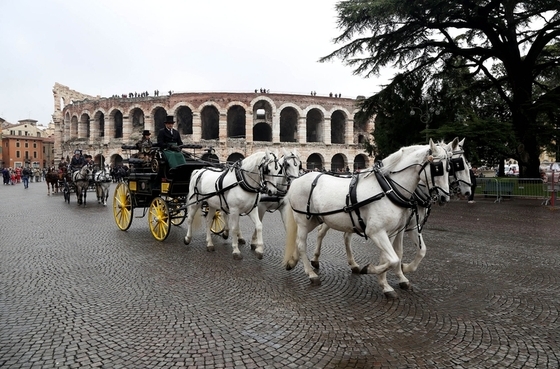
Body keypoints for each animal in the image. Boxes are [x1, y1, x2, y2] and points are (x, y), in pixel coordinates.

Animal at [284, 139, 450, 298]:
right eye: (437, 168)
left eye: (450, 167)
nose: (445, 197)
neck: (388, 189)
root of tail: (297, 179)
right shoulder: (376, 232)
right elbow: (394, 259)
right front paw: (370, 269)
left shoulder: (393, 231)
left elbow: (392, 257)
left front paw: (386, 284)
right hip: (303, 220)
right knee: (301, 244)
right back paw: (311, 274)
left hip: (316, 219)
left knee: (308, 239)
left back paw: (293, 261)